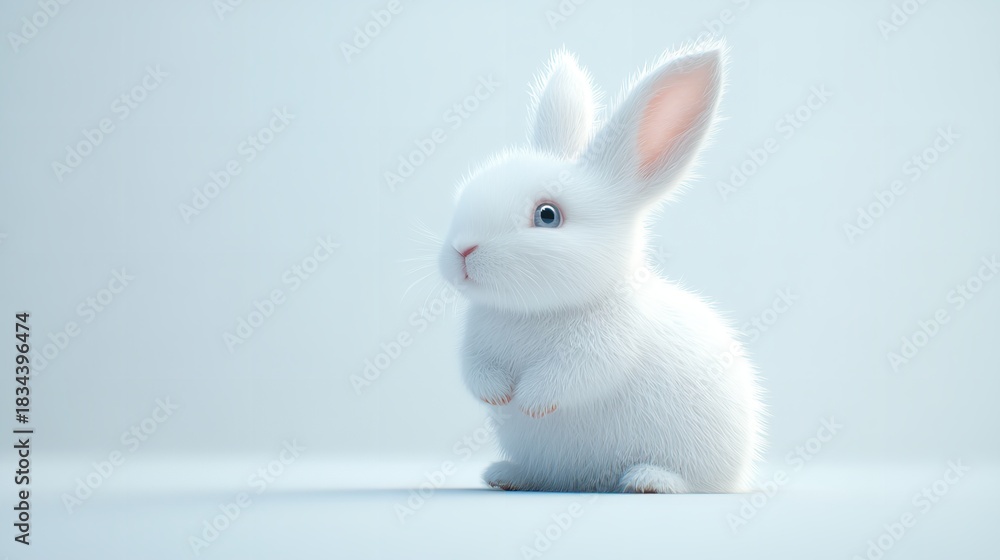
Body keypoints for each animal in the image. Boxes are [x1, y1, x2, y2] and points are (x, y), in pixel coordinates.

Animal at [437, 42, 764, 493]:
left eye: (547, 215)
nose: (461, 250)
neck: (531, 312)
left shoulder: (604, 347)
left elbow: (570, 378)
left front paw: (529, 401)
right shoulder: (475, 346)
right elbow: (476, 372)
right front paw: (499, 396)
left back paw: (649, 481)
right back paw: (506, 475)